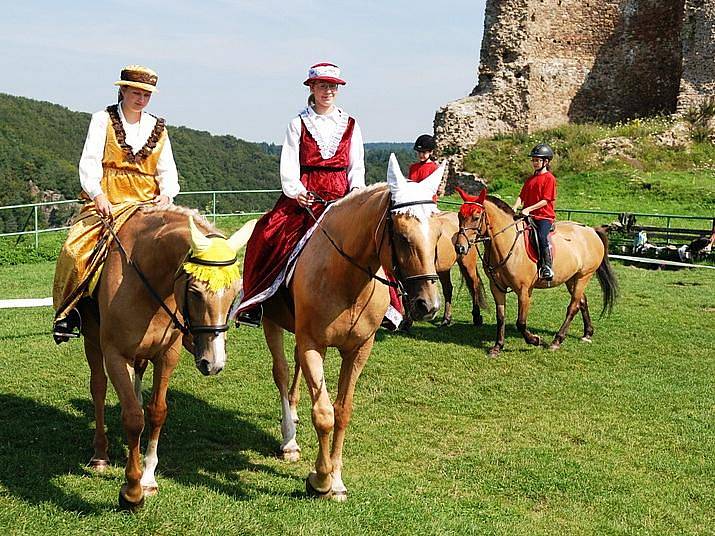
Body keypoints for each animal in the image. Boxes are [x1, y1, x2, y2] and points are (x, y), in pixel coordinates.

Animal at [77, 205, 256, 510]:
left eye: (234, 292)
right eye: (195, 292)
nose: (214, 363)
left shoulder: (167, 355)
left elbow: (156, 412)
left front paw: (148, 478)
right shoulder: (115, 355)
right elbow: (133, 418)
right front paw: (132, 491)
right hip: (93, 342)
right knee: (98, 389)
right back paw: (100, 455)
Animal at [258, 153, 444, 500]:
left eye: (438, 236)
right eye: (402, 236)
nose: (427, 305)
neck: (346, 278)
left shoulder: (358, 349)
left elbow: (342, 412)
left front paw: (337, 479)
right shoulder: (313, 344)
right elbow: (324, 414)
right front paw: (320, 479)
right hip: (270, 322)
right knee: (282, 371)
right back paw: (289, 440)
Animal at [456, 187, 620, 356]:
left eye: (476, 217)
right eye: (459, 216)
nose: (460, 247)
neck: (508, 245)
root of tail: (591, 231)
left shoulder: (524, 290)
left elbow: (521, 322)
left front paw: (535, 340)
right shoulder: (497, 287)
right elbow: (500, 317)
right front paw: (497, 347)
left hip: (583, 276)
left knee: (573, 307)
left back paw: (557, 340)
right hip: (571, 279)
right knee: (582, 301)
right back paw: (587, 333)